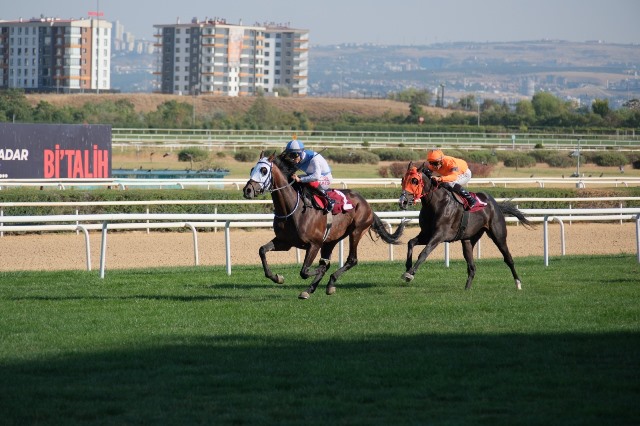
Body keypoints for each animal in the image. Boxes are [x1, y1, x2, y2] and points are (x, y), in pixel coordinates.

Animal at [241, 153, 404, 300]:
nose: (247, 190)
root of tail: (366, 203)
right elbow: (262, 250)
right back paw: (311, 289)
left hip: (357, 231)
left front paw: (316, 271)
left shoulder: (314, 244)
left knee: (351, 260)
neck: (292, 208)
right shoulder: (285, 242)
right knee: (328, 261)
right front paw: (277, 277)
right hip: (331, 239)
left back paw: (329, 283)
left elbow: (305, 271)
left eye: (264, 170)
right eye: (252, 169)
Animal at [398, 163, 532, 290]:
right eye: (402, 179)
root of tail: (495, 205)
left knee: (508, 258)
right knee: (472, 267)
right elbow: (411, 242)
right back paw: (467, 288)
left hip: (498, 235)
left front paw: (410, 274)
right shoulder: (426, 234)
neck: (436, 203)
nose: (402, 201)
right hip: (468, 240)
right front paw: (408, 267)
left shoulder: (439, 235)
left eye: (414, 180)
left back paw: (518, 283)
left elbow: (424, 252)